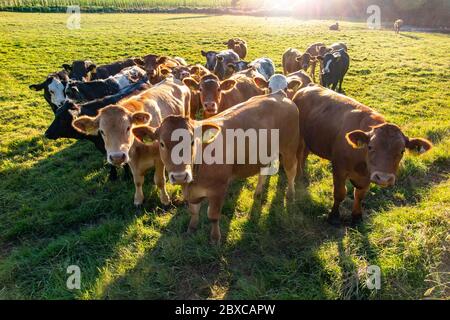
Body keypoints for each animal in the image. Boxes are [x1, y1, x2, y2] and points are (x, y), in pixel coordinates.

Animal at [130, 89, 298, 244]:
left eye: (192, 141)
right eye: (162, 143)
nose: (180, 176)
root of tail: (278, 94)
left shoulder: (218, 189)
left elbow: (213, 216)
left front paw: (215, 238)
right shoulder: (191, 192)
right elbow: (193, 211)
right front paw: (191, 229)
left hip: (289, 146)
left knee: (291, 171)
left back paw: (290, 194)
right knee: (264, 170)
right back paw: (258, 192)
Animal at [292, 84, 432, 226]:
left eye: (402, 151)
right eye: (370, 147)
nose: (384, 178)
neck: (361, 165)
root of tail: (310, 86)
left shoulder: (367, 176)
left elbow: (360, 195)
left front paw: (357, 216)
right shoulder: (339, 169)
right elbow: (340, 193)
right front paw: (334, 216)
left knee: (305, 154)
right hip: (299, 137)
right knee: (299, 155)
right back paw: (299, 177)